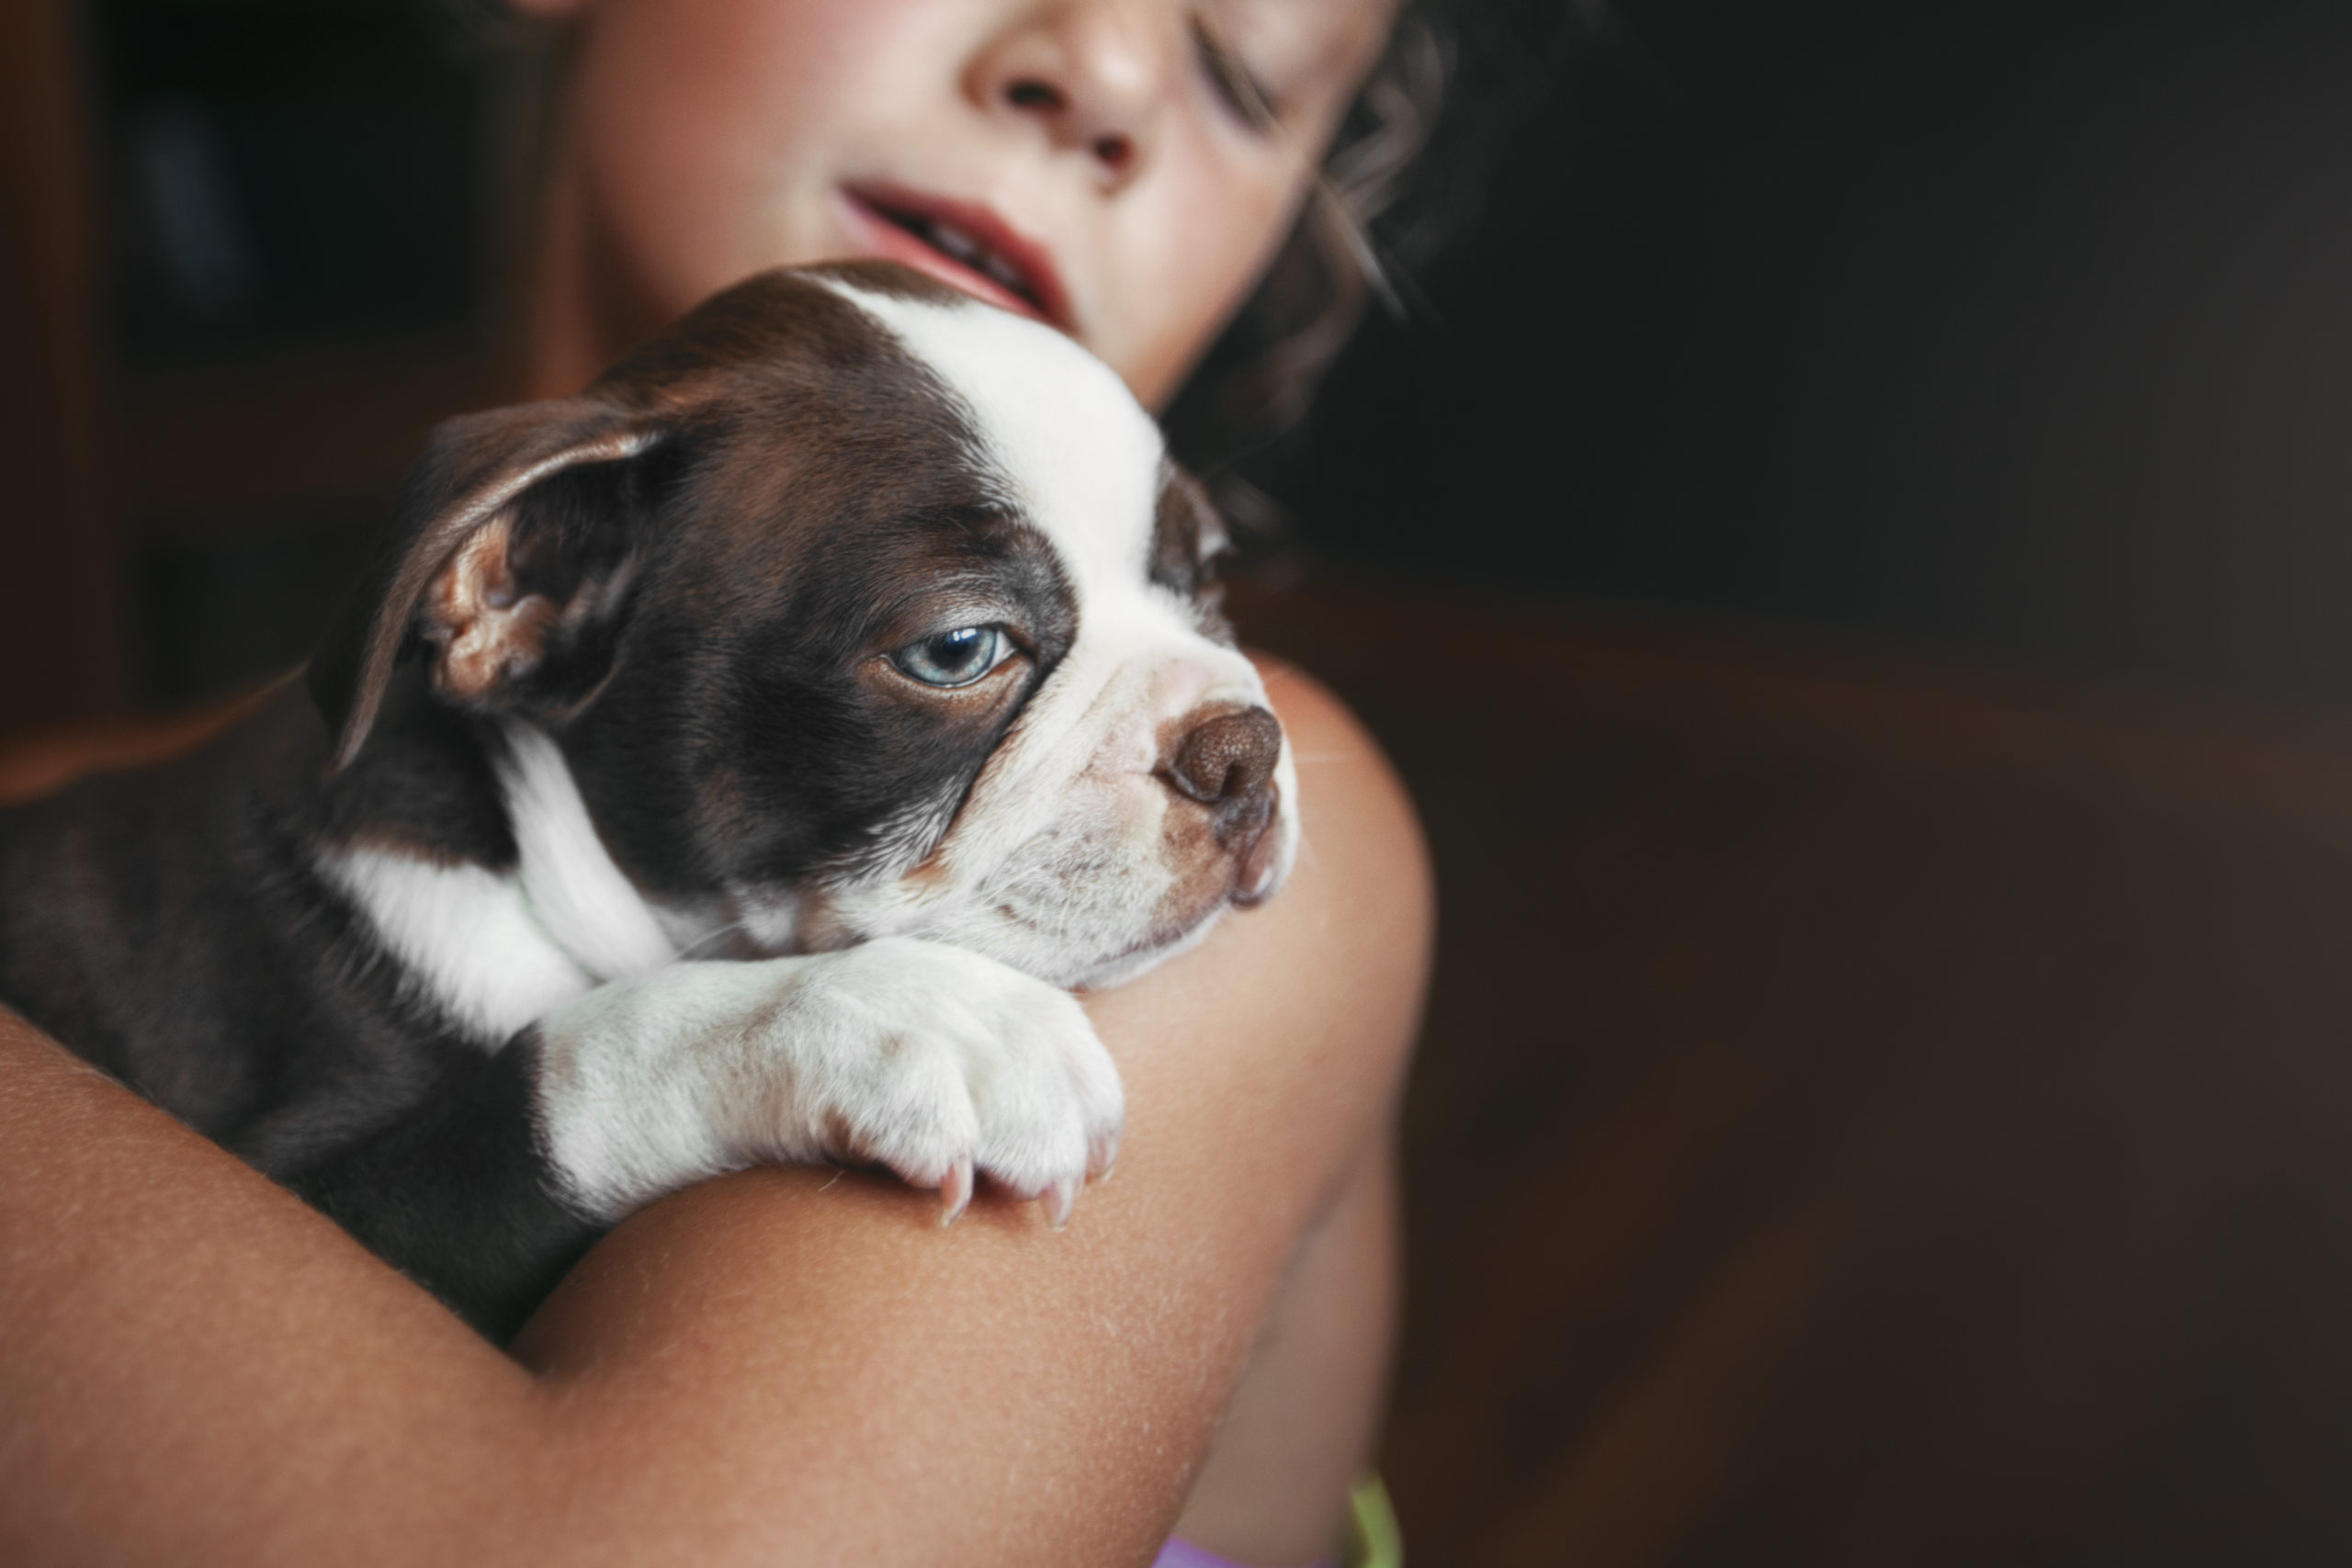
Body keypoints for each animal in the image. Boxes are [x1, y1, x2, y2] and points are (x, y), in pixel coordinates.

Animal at [0, 261, 1307, 1335]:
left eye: (1206, 579)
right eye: (957, 650)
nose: (1243, 748)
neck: (528, 865)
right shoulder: (297, 1193)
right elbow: (565, 1067)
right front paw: (908, 1017)